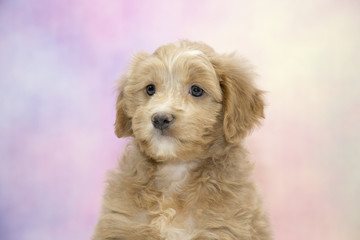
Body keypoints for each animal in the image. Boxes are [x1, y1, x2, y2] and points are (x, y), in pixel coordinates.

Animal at [91, 40, 272, 239]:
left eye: (196, 90)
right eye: (150, 89)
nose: (160, 118)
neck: (175, 169)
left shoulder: (223, 228)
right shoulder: (120, 224)